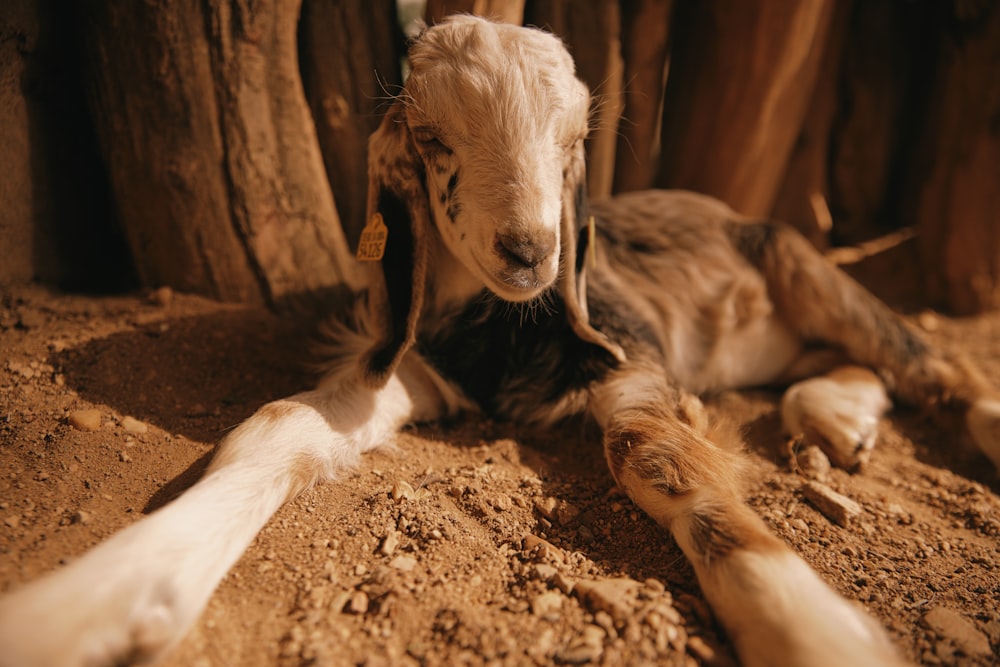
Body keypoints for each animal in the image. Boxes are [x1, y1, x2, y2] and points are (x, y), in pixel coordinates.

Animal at [1, 14, 1000, 667]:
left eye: (574, 138)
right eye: (431, 135)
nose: (531, 249)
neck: (505, 327)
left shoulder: (630, 350)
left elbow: (651, 453)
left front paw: (813, 628)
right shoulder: (409, 360)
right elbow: (280, 425)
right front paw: (93, 600)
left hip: (802, 259)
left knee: (932, 360)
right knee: (859, 364)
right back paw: (838, 417)